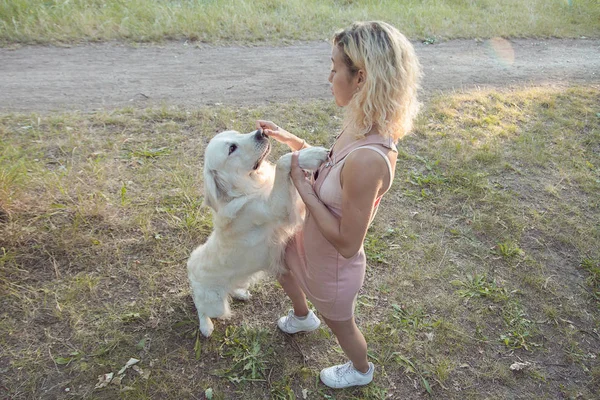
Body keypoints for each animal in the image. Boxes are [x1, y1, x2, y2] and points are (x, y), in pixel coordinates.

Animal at [188, 130, 328, 336]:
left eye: (237, 133)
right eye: (232, 148)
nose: (261, 132)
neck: (248, 187)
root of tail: (189, 269)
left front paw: (308, 156)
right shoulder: (276, 208)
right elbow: (282, 162)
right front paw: (312, 155)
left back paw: (240, 293)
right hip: (214, 305)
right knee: (201, 307)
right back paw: (206, 326)